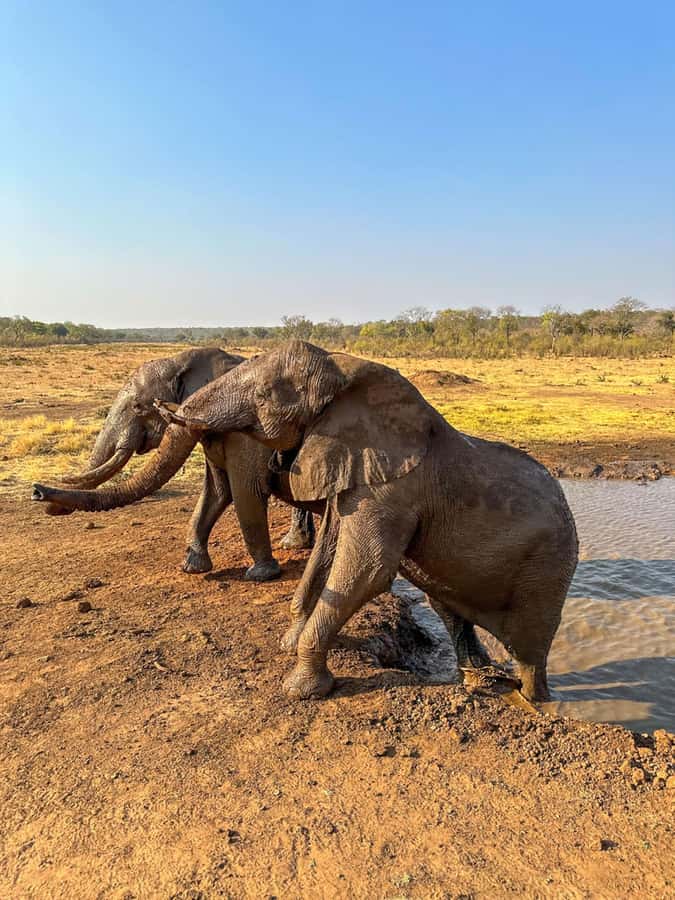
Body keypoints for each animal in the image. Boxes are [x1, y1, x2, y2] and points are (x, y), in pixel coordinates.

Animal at [41, 347, 314, 580]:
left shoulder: (244, 434)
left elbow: (246, 490)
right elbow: (218, 491)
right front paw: (192, 567)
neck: (181, 361)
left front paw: (262, 575)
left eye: (138, 406)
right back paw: (295, 544)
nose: (39, 494)